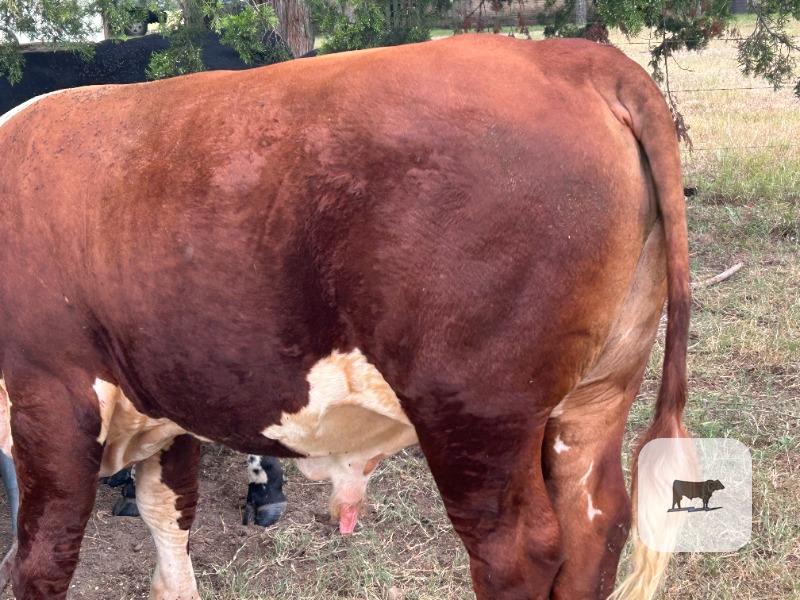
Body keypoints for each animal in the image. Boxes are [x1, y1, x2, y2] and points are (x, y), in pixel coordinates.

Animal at [0, 34, 690, 600]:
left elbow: (41, 557)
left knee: (517, 553)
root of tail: (571, 59)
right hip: (596, 395)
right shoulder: (161, 405)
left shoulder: (48, 397)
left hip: (479, 413)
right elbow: (168, 521)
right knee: (597, 523)